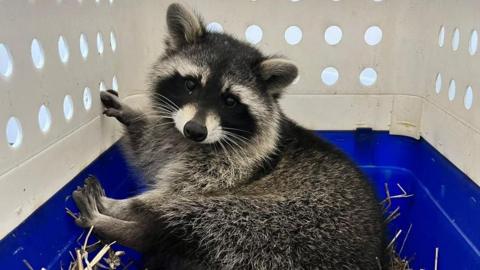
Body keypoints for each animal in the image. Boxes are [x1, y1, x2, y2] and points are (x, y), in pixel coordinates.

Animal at [72, 2, 386, 270]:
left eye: (230, 101)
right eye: (190, 84)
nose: (195, 130)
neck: (189, 143)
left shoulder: (232, 168)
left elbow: (166, 197)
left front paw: (126, 206)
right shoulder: (169, 135)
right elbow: (148, 148)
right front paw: (132, 115)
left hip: (285, 223)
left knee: (192, 220)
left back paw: (113, 221)